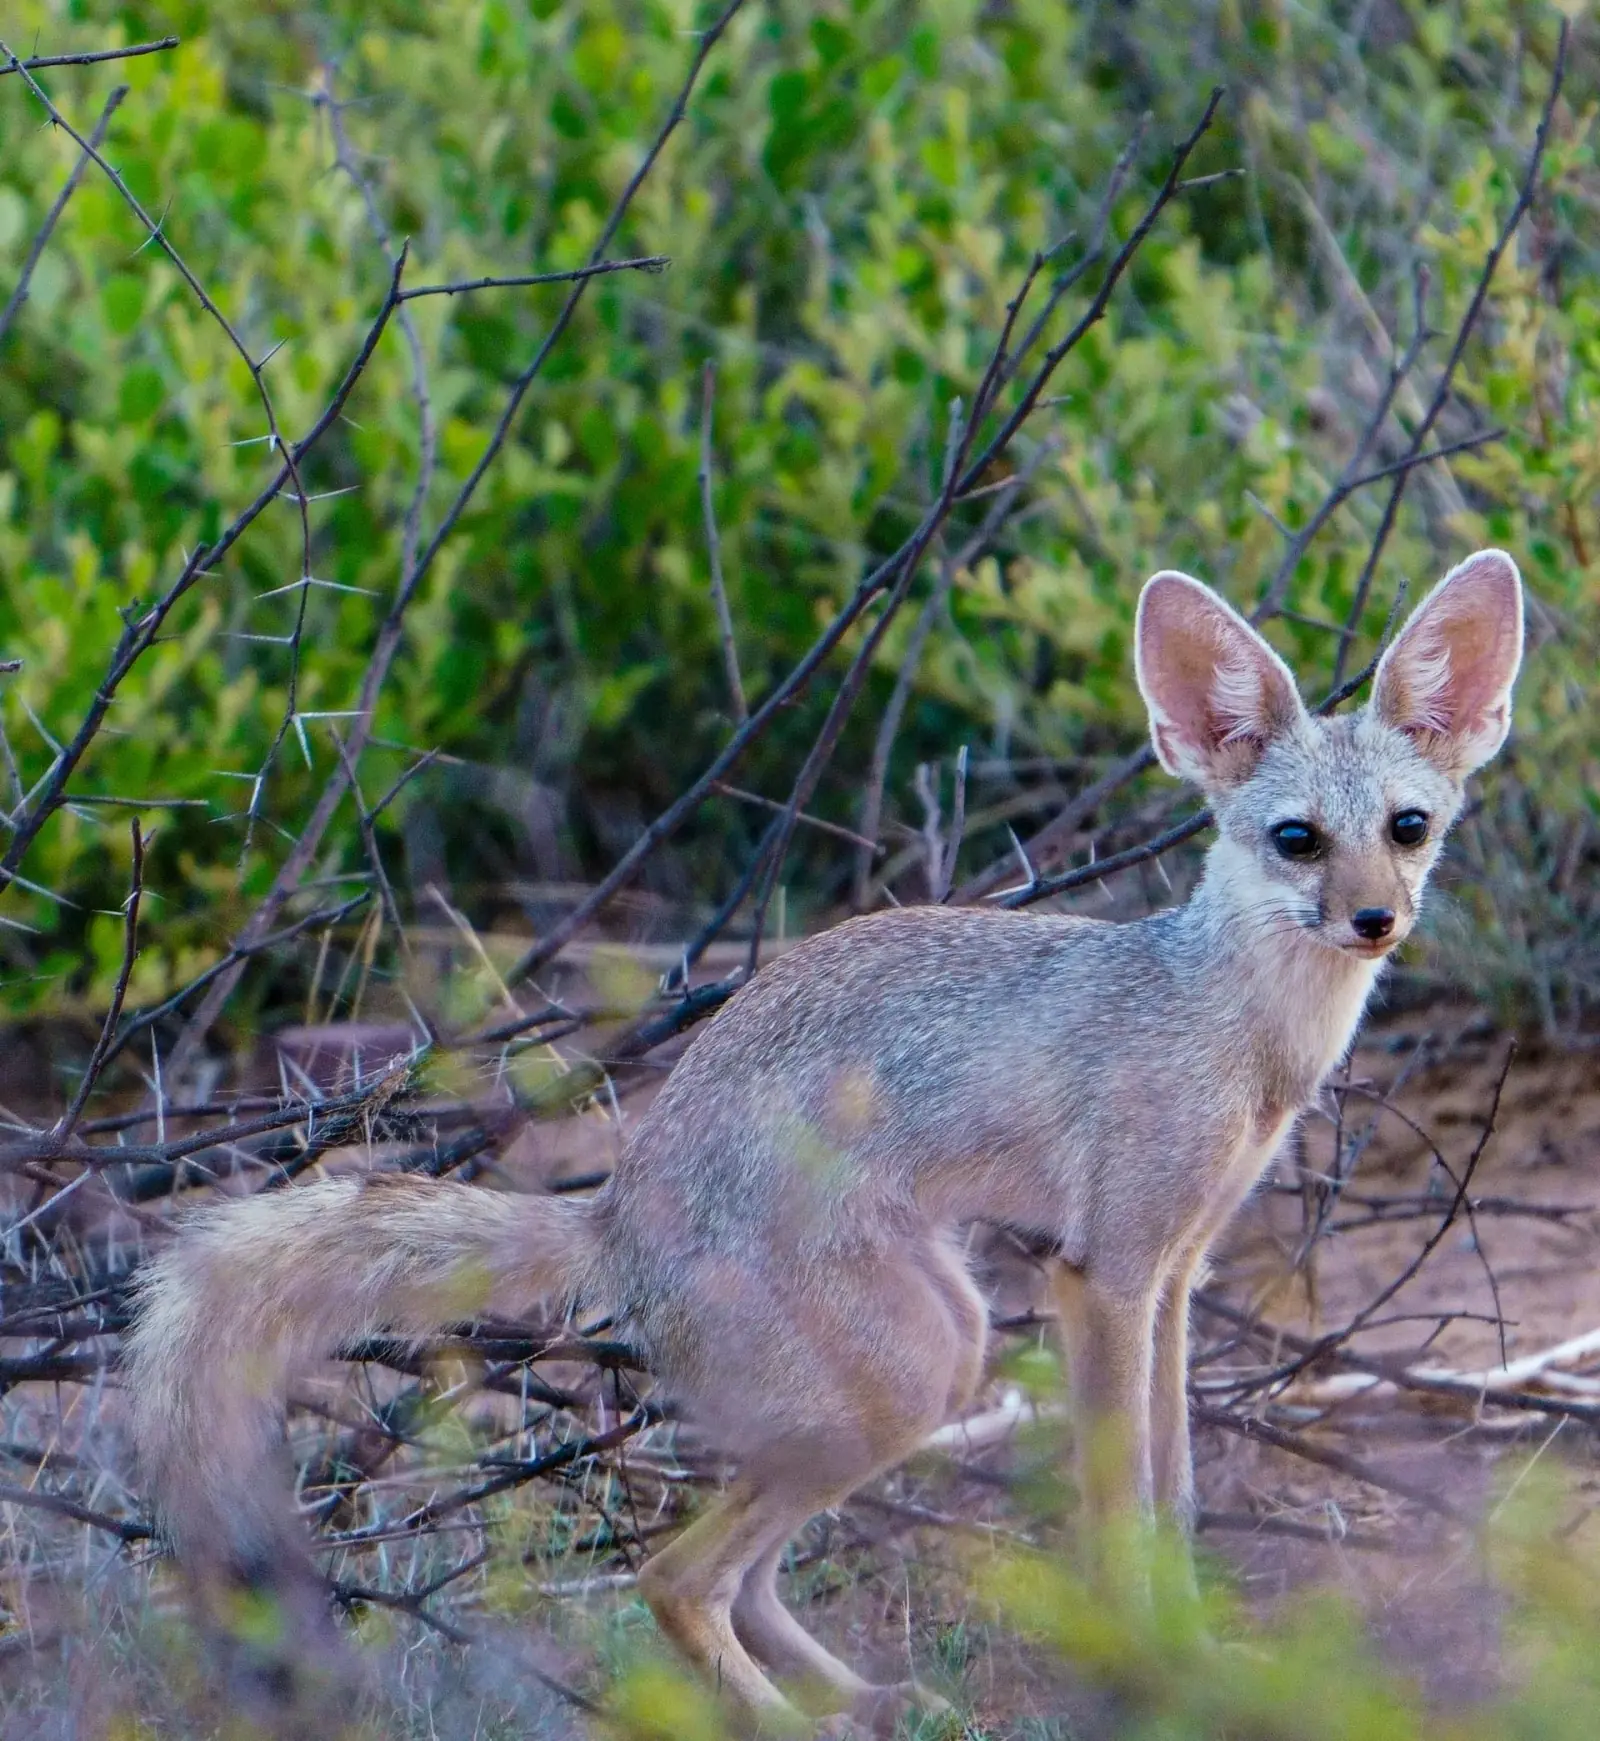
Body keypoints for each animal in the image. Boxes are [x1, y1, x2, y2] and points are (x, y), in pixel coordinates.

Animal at [126, 548, 1523, 1731]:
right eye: (1295, 838)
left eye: (1407, 828)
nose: (1373, 921)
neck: (1233, 1024)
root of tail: (613, 1203)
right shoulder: (1106, 1279)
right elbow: (1122, 1508)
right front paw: (1147, 1670)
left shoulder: (1176, 1274)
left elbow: (1174, 1499)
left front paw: (1197, 1653)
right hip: (910, 1374)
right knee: (672, 1579)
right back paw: (800, 1714)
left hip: (937, 1353)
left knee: (737, 1582)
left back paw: (871, 1698)